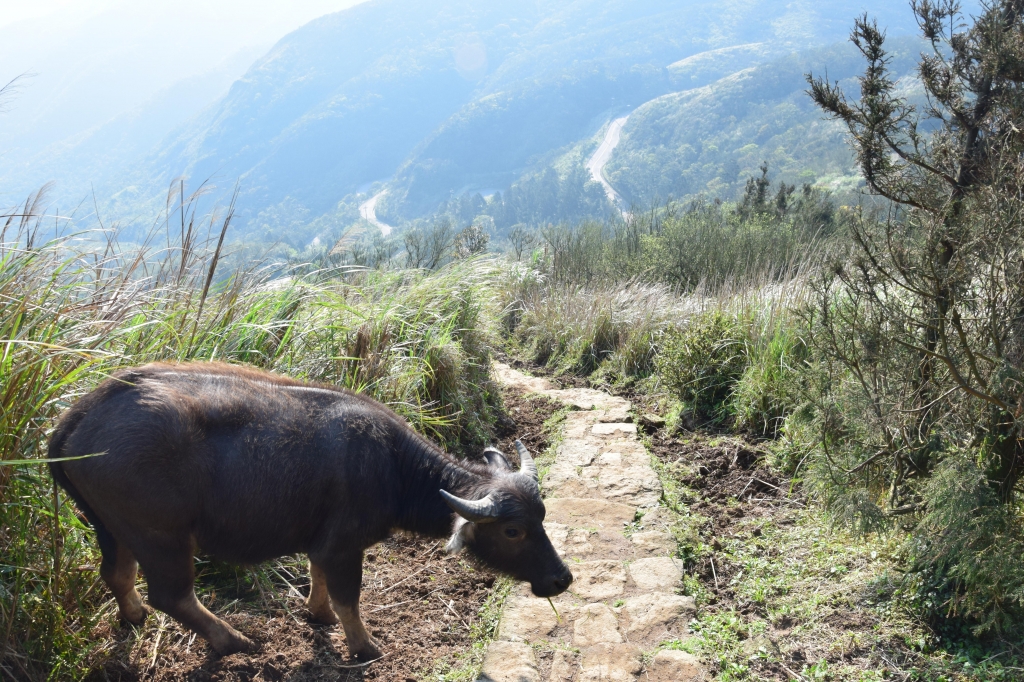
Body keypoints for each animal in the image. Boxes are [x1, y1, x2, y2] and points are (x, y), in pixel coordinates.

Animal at [48, 360, 573, 659]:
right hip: (162, 536)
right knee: (171, 595)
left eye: (544, 516)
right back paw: (234, 641)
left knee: (117, 574)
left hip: (109, 527)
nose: (561, 579)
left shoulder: (323, 541)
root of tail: (75, 418)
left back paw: (135, 617)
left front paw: (316, 615)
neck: (392, 466)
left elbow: (317, 577)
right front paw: (364, 647)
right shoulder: (345, 546)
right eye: (512, 531)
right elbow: (348, 596)